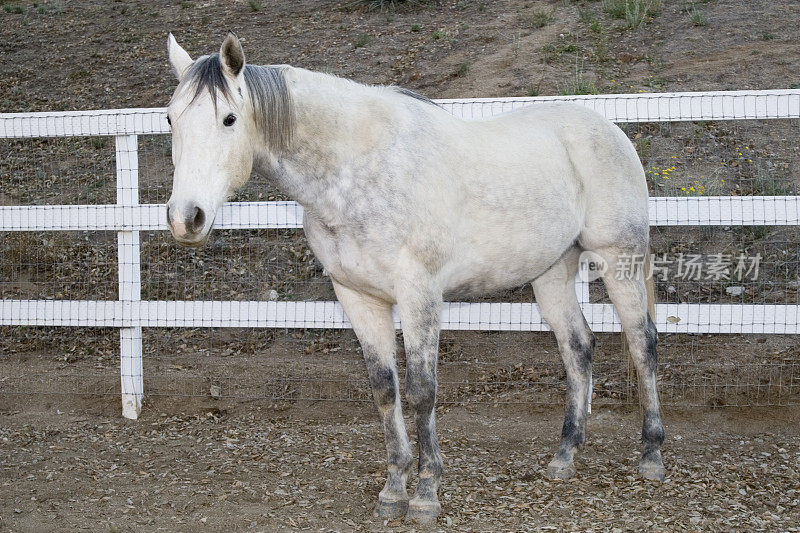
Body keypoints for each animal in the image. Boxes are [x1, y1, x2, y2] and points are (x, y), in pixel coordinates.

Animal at [164, 31, 668, 520]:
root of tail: (609, 130)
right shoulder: (357, 297)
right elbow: (385, 389)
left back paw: (651, 455)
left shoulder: (419, 295)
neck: (357, 167)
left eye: (229, 119)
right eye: (170, 119)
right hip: (552, 273)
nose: (186, 218)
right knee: (578, 347)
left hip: (619, 262)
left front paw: (426, 493)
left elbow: (422, 390)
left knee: (642, 342)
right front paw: (393, 490)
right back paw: (565, 455)